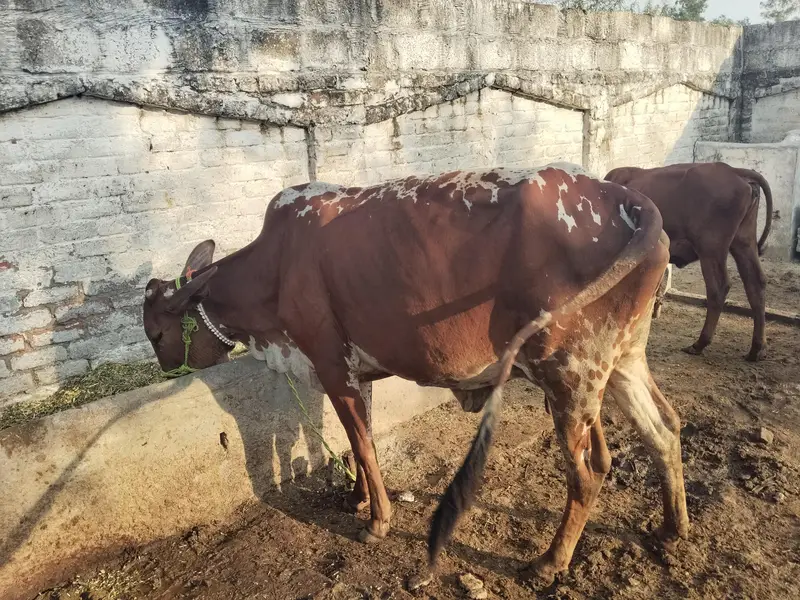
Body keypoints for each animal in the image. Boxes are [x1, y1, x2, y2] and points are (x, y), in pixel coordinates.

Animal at [142, 163, 688, 587]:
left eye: (155, 332)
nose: (168, 370)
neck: (274, 266)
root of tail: (633, 201)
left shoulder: (329, 361)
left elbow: (362, 444)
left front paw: (377, 521)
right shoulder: (351, 371)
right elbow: (355, 441)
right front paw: (358, 498)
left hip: (569, 373)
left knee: (588, 472)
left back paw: (549, 563)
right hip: (621, 362)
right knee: (664, 429)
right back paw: (671, 527)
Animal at [604, 162, 773, 362]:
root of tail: (733, 170)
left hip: (710, 249)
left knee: (718, 288)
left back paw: (700, 343)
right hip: (743, 243)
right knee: (755, 284)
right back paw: (757, 349)